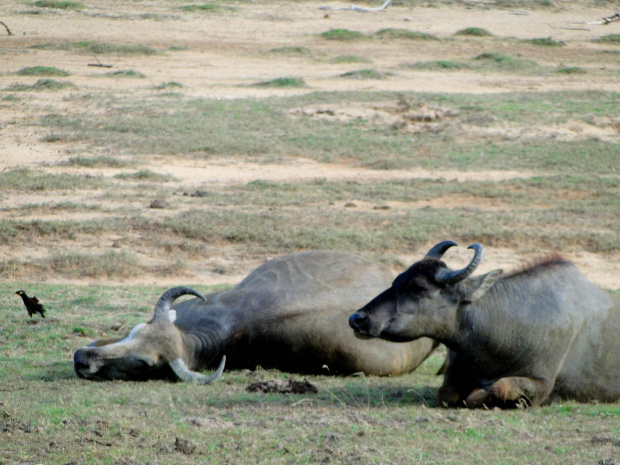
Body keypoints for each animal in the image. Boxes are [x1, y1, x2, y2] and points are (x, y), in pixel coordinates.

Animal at [348, 241, 620, 408]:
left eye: (418, 287)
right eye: (397, 279)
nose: (357, 318)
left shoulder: (542, 384)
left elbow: (494, 389)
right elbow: (446, 393)